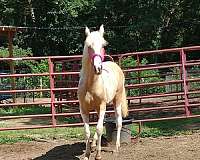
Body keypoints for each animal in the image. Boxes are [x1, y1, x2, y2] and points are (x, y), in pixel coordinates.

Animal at [77, 24, 127, 159]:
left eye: (103, 45)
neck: (90, 84)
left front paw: (98, 155)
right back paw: (94, 145)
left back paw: (116, 148)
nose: (98, 68)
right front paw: (87, 154)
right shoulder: (83, 109)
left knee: (118, 122)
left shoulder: (102, 105)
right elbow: (87, 131)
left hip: (117, 100)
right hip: (97, 108)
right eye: (89, 46)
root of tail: (115, 65)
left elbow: (99, 129)